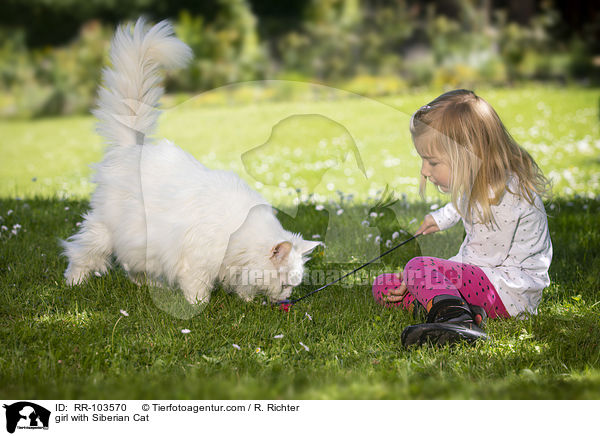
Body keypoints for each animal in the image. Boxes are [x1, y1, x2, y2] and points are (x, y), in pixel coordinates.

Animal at [61, 18, 322, 304]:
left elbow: (243, 285)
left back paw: (151, 286)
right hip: (105, 231)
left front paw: (247, 301)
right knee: (80, 253)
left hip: (138, 244)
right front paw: (200, 305)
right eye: (285, 284)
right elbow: (197, 287)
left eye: (292, 286)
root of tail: (132, 148)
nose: (286, 298)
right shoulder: (196, 260)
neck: (240, 236)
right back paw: (74, 282)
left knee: (133, 267)